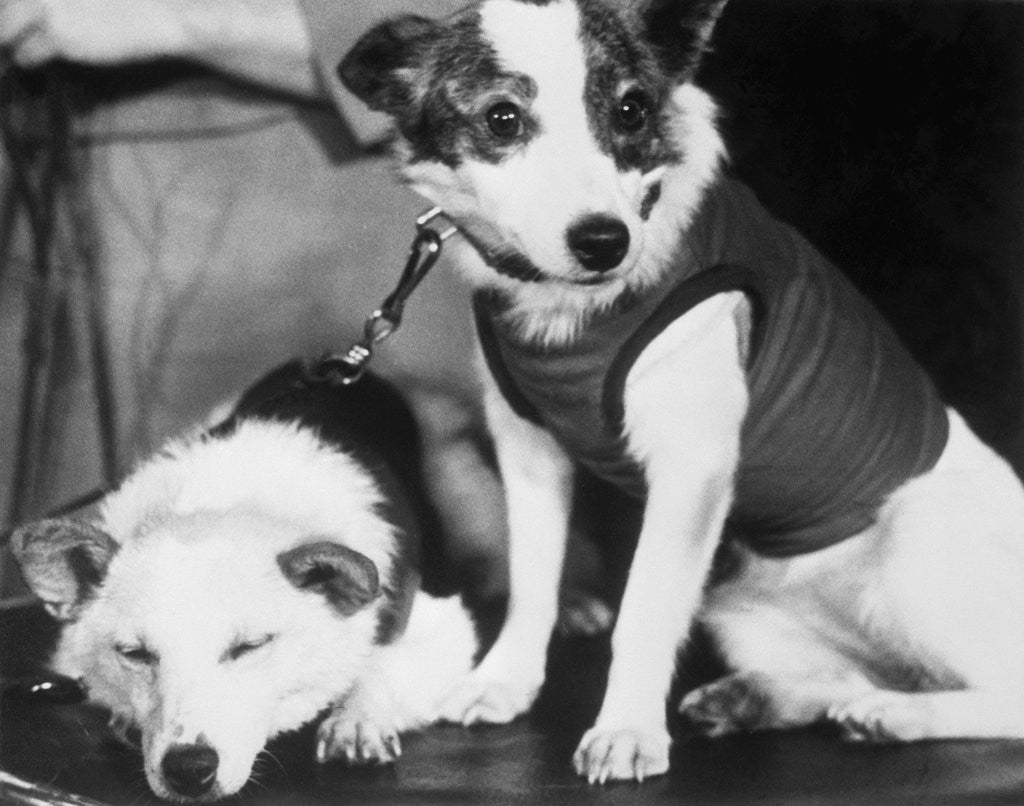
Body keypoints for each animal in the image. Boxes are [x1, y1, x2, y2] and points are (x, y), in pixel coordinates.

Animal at [11, 364, 475, 798]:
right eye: (135, 654)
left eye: (249, 647)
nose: (189, 770)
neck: (228, 504)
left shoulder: (445, 625)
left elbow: (382, 663)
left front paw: (358, 717)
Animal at [339, 0, 1024, 786]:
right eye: (502, 119)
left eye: (632, 110)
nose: (605, 242)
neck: (572, 312)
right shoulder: (529, 449)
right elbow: (532, 581)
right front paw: (507, 680)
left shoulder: (690, 471)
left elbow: (643, 609)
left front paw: (627, 728)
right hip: (739, 607)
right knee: (845, 680)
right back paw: (763, 699)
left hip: (911, 550)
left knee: (1004, 697)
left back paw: (901, 716)